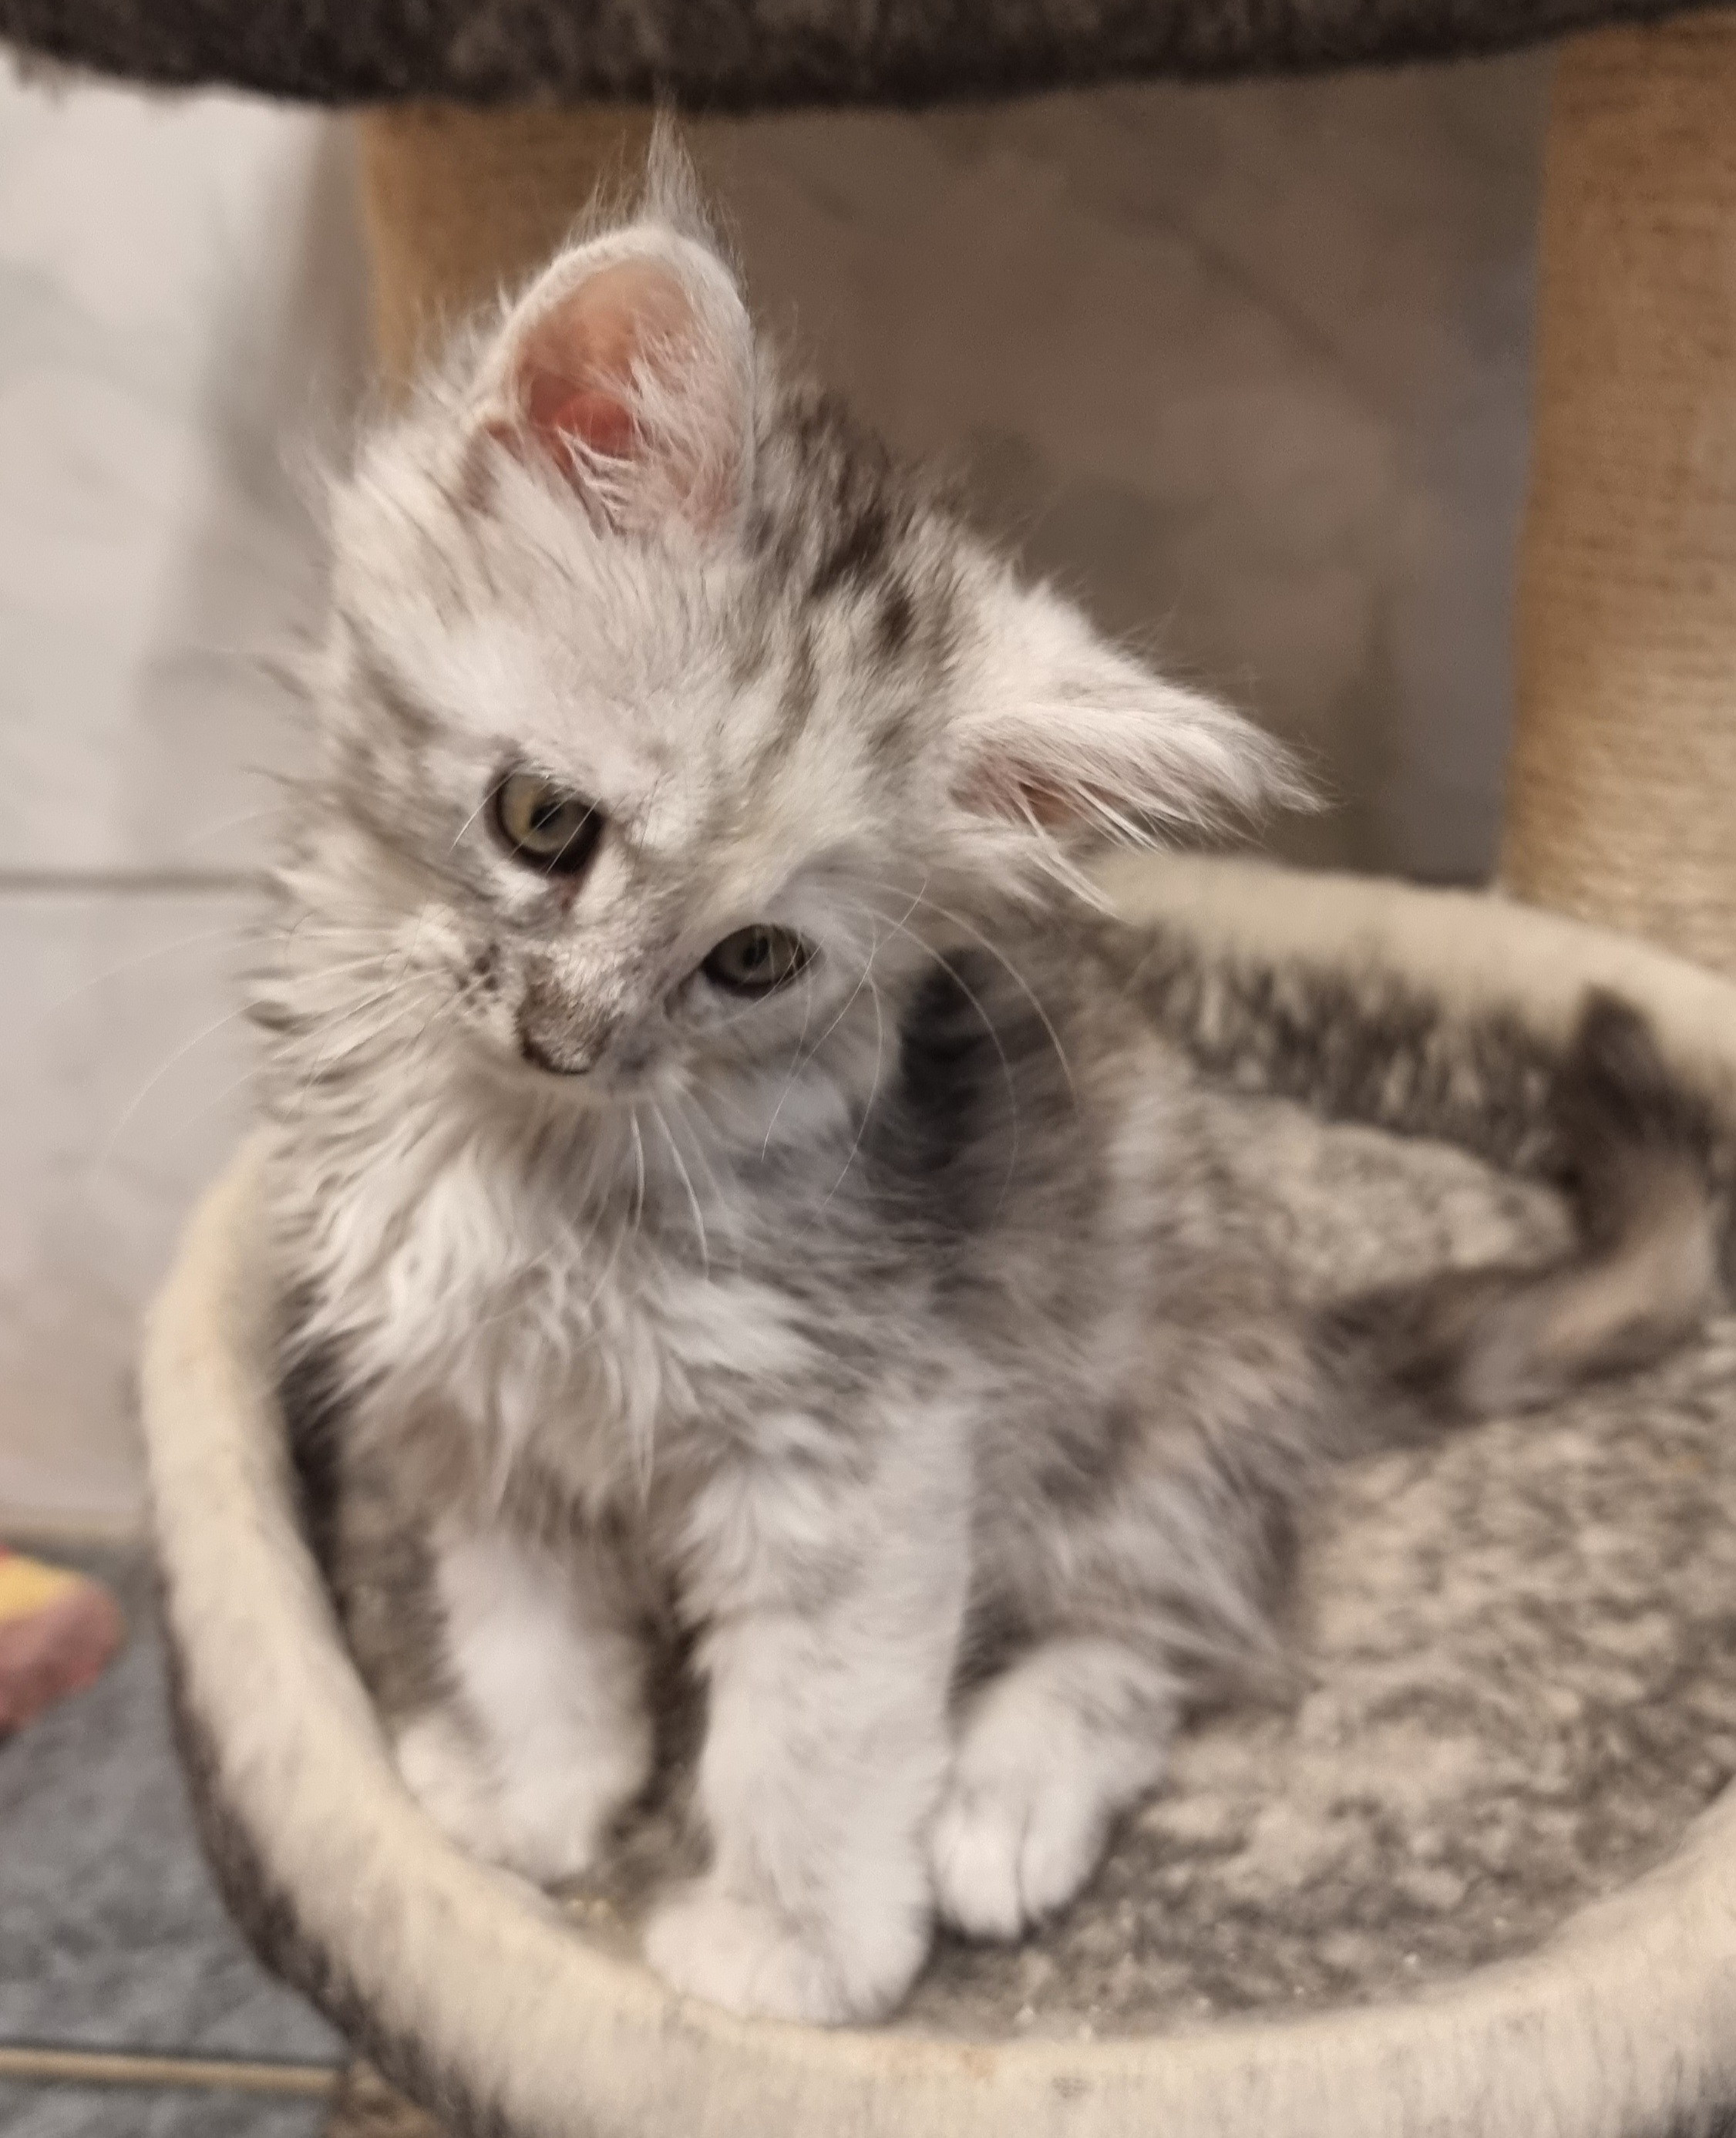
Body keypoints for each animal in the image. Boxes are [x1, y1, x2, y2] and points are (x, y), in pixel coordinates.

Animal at [260, 134, 1718, 2026]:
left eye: (753, 962)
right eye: (540, 822)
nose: (571, 1036)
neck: (520, 1149)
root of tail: (1298, 1340)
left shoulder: (861, 1452)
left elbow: (810, 1736)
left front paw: (790, 1953)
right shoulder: (485, 1422)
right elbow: (529, 1645)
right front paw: (532, 1801)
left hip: (1135, 1439)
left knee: (1160, 1637)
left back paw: (999, 1807)